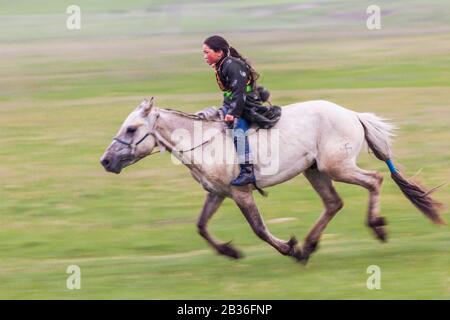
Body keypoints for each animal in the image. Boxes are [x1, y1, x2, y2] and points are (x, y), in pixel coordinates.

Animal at [101, 99, 442, 264]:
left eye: (131, 129)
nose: (106, 161)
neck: (202, 142)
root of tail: (352, 114)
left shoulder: (241, 193)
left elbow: (259, 229)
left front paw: (288, 247)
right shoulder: (218, 194)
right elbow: (201, 226)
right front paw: (230, 252)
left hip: (336, 167)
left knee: (375, 179)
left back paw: (376, 227)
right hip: (314, 170)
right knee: (334, 202)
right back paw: (309, 246)